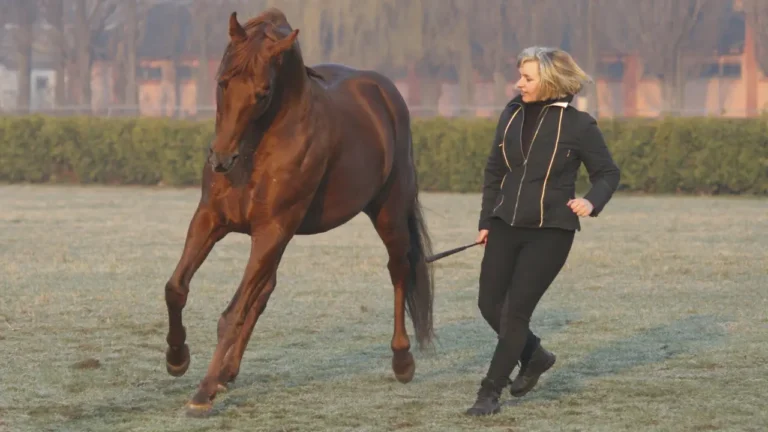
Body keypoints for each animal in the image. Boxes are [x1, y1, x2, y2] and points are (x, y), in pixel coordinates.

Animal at [163, 8, 436, 416]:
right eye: (222, 82)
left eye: (263, 93)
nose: (221, 159)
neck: (258, 149)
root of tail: (385, 95)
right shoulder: (211, 219)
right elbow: (177, 288)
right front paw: (177, 358)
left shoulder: (271, 230)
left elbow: (232, 314)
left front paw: (202, 393)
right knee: (262, 292)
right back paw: (226, 371)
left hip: (387, 213)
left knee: (399, 270)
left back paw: (402, 361)